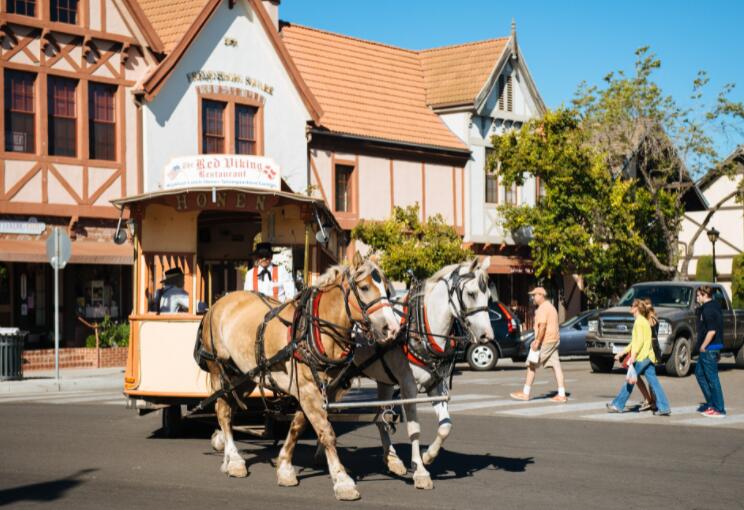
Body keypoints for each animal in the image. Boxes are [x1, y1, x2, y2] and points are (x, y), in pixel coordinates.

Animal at [196, 253, 396, 500]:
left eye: (387, 289)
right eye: (365, 287)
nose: (392, 328)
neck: (313, 330)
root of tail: (218, 303)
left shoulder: (318, 390)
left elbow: (299, 425)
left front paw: (284, 467)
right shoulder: (308, 388)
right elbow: (326, 431)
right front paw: (342, 481)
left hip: (244, 375)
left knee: (230, 407)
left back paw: (225, 454)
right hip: (218, 369)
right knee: (223, 411)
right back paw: (234, 460)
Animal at [312, 258, 494, 490]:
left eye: (489, 297)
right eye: (471, 293)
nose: (487, 336)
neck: (420, 328)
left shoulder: (436, 385)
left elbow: (446, 426)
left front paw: (428, 456)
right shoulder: (408, 386)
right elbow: (414, 428)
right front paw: (420, 472)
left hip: (380, 381)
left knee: (377, 417)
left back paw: (391, 460)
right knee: (326, 412)